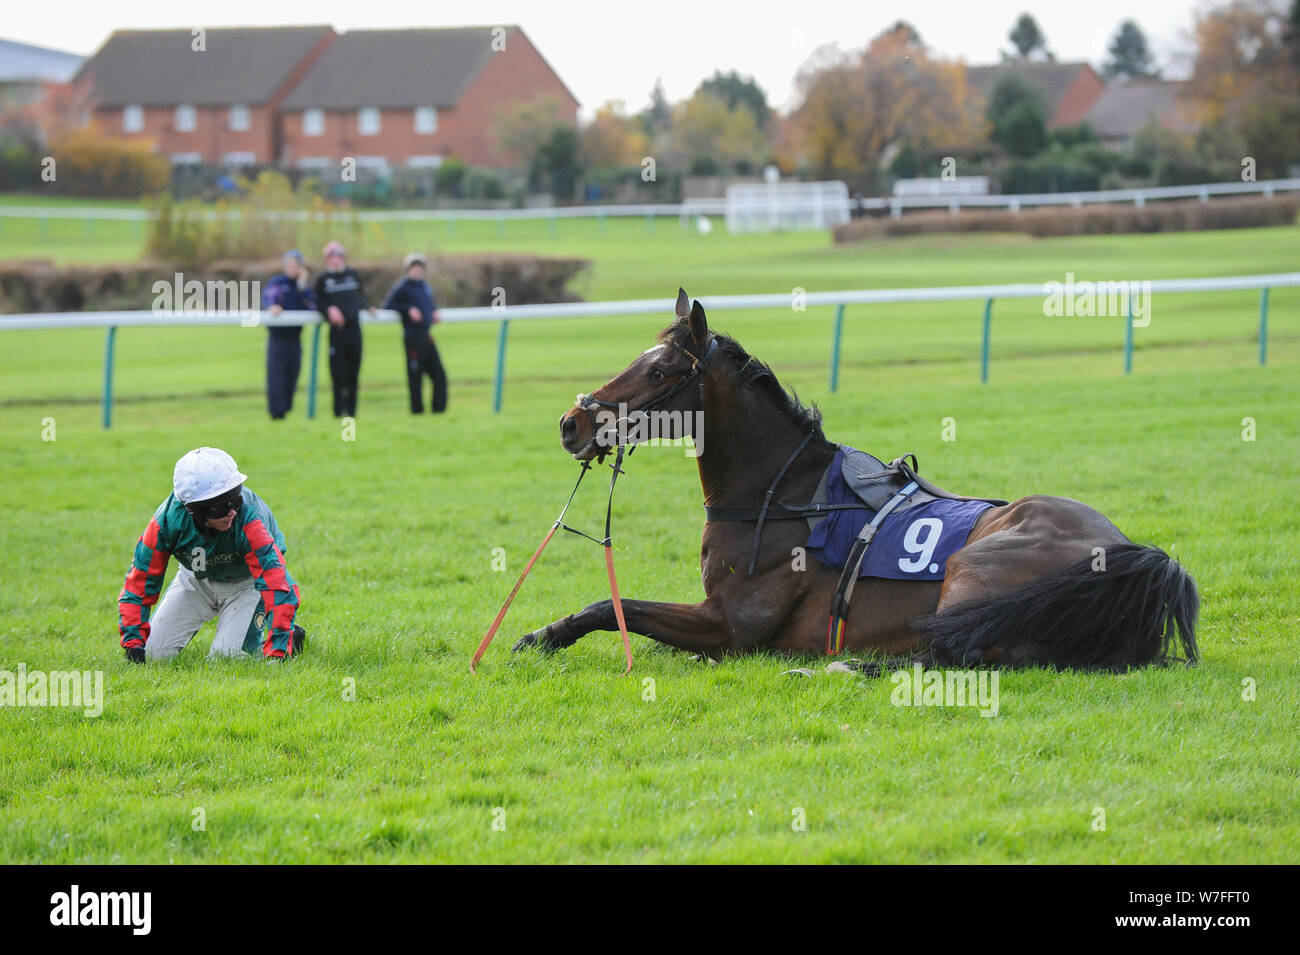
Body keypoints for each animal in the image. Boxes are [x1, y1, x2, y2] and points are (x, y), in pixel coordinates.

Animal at [509, 291, 1196, 670]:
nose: (572, 423)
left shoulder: (732, 626)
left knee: (949, 654)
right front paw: (541, 634)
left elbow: (614, 604)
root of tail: (1142, 559)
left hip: (975, 569)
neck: (783, 496)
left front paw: (540, 634)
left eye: (658, 373)